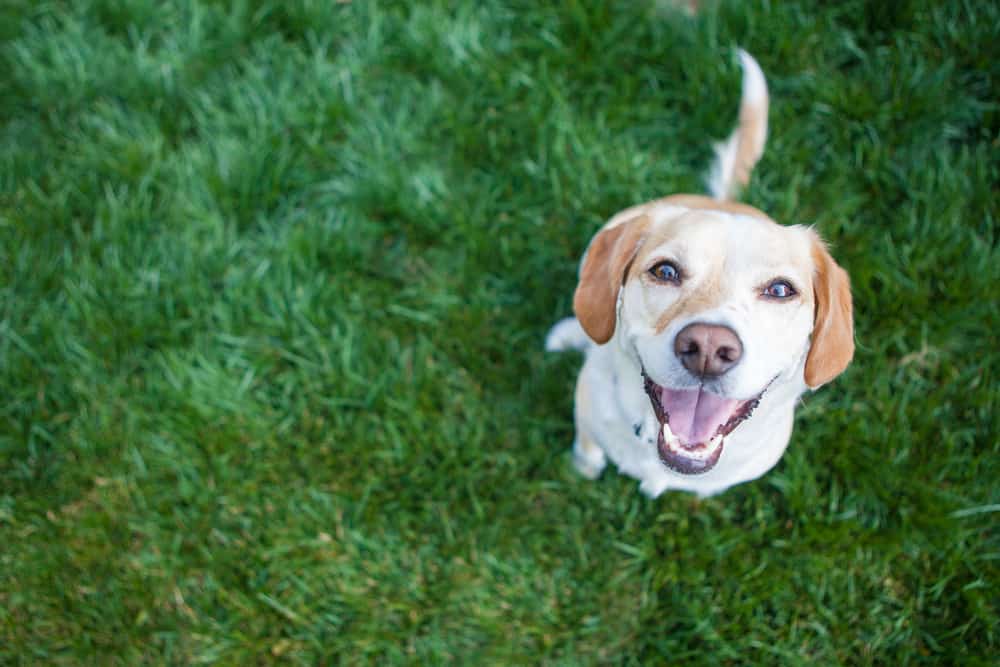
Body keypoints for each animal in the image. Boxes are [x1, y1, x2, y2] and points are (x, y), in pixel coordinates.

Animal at [548, 51, 852, 496]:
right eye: (665, 270)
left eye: (780, 290)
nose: (708, 348)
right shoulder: (587, 419)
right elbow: (587, 451)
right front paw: (582, 469)